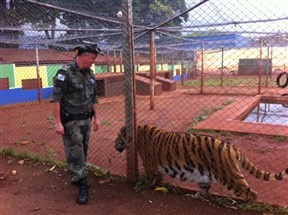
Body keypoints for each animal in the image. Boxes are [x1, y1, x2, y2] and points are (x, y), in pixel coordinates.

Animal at [114, 124, 288, 202]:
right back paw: (196, 195)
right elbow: (158, 176)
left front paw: (147, 186)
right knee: (205, 189)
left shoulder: (149, 164)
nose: (114, 146)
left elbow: (150, 176)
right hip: (204, 176)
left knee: (251, 194)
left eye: (117, 138)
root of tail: (232, 147)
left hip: (229, 176)